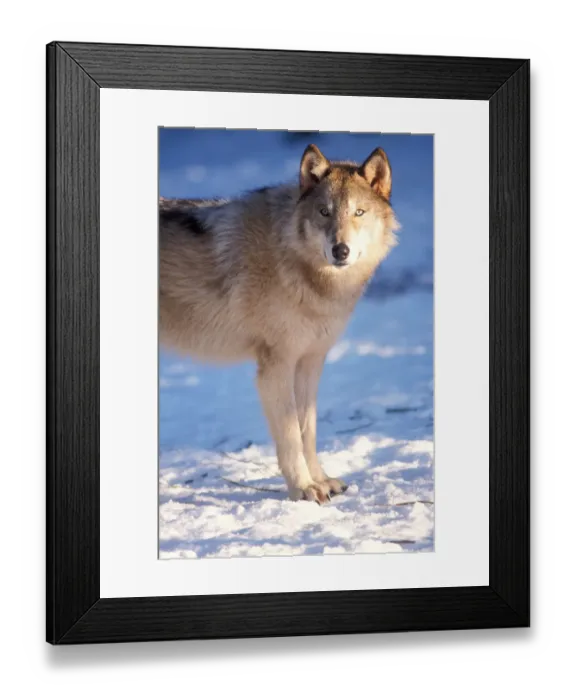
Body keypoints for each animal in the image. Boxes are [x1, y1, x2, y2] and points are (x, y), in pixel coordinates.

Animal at [159, 144, 399, 504]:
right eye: (324, 212)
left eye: (359, 212)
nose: (340, 250)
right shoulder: (276, 368)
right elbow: (290, 436)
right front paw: (303, 489)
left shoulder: (310, 363)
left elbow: (307, 431)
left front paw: (321, 480)